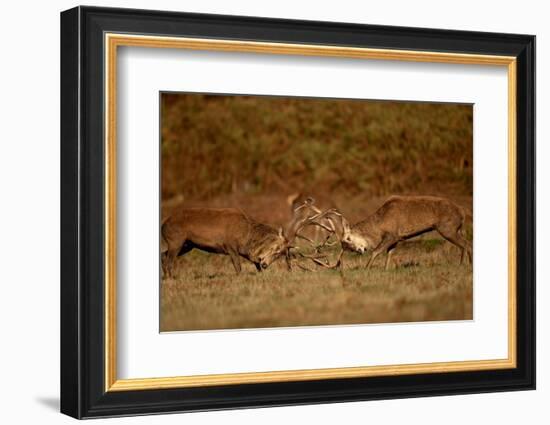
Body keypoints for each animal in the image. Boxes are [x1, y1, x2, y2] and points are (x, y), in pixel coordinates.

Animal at [160, 206, 288, 278]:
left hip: (187, 244)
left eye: (280, 255)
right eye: (276, 248)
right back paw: (171, 278)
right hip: (176, 240)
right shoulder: (230, 245)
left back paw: (166, 276)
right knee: (169, 260)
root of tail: (163, 226)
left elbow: (255, 262)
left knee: (163, 255)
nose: (265, 264)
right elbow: (238, 265)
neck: (246, 237)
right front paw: (240, 278)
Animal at [338, 195, 472, 268]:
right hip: (457, 229)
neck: (379, 226)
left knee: (465, 244)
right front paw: (386, 269)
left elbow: (376, 251)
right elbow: (389, 253)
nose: (357, 251)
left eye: (348, 239)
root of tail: (462, 212)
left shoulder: (392, 235)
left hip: (447, 228)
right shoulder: (398, 237)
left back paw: (462, 265)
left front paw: (367, 268)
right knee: (467, 243)